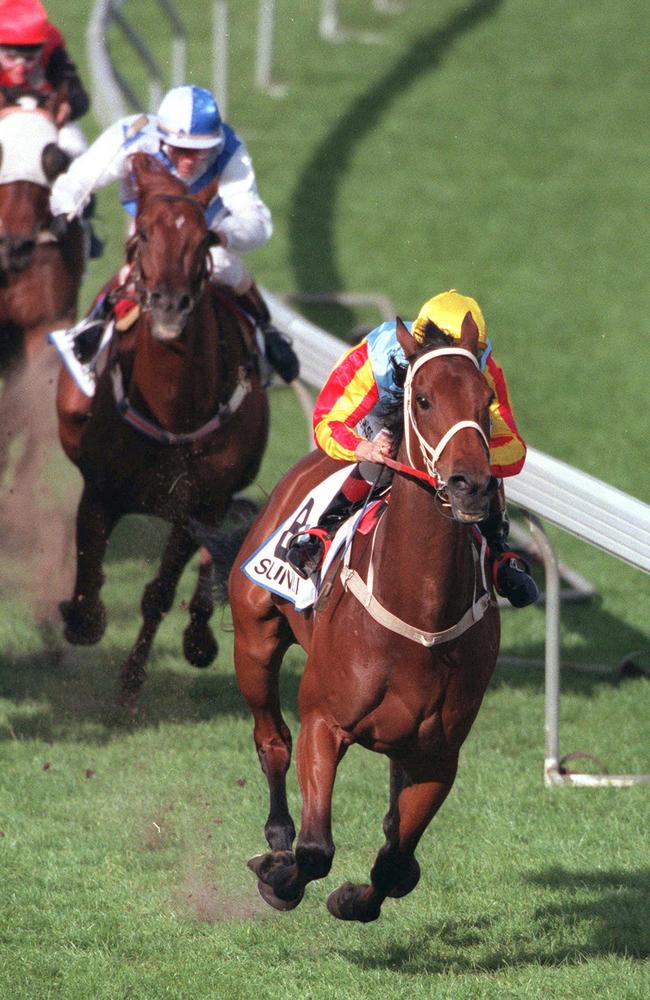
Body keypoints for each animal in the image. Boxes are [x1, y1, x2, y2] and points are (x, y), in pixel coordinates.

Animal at [55, 152, 268, 708]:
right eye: (146, 232)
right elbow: (88, 581)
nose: (170, 304)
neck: (174, 410)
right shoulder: (100, 491)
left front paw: (131, 684)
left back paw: (199, 635)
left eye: (205, 238)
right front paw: (80, 619)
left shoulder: (197, 502)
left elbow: (159, 592)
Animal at [229, 312, 502, 920]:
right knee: (272, 741)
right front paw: (278, 876)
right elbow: (314, 851)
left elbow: (396, 863)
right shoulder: (323, 721)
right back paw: (275, 838)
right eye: (423, 399)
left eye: (487, 398)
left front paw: (354, 898)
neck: (420, 611)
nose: (472, 485)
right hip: (253, 640)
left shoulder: (438, 755)